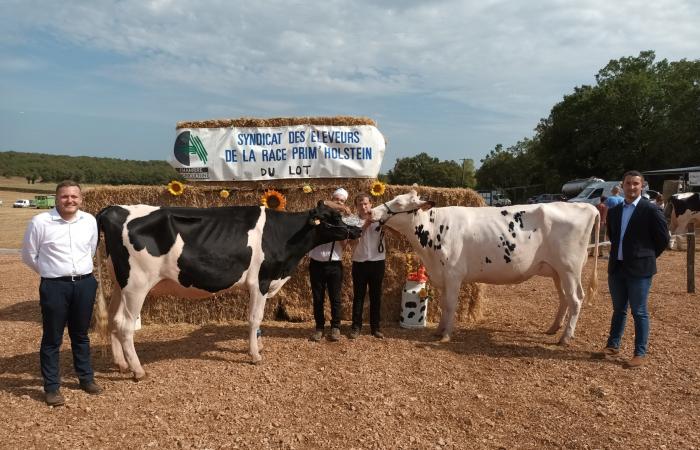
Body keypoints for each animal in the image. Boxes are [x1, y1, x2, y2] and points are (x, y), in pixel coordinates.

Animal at [370, 190, 600, 344]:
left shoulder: (453, 274)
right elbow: (444, 304)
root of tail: (587, 206)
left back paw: (565, 337)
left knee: (576, 300)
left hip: (570, 269)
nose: (371, 211)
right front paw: (439, 330)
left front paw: (445, 335)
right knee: (564, 299)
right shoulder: (442, 276)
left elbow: (451, 305)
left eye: (399, 203)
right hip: (557, 271)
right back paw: (553, 329)